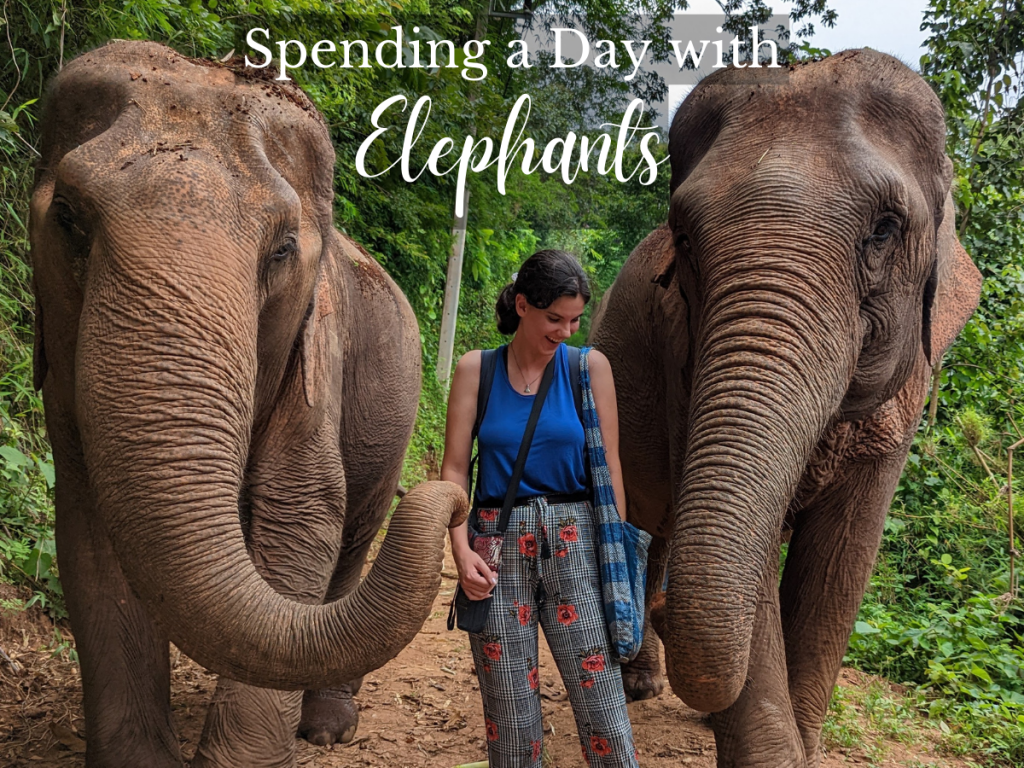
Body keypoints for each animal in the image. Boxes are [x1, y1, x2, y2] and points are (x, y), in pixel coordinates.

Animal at [29, 40, 468, 768]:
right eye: (67, 218)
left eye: (283, 249)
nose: (460, 503)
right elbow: (88, 529)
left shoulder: (318, 353)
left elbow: (303, 509)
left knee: (354, 538)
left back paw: (327, 726)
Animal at [591, 50, 982, 766]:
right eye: (684, 239)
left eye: (885, 230)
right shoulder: (686, 363)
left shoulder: (901, 411)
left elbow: (840, 562)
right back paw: (641, 681)